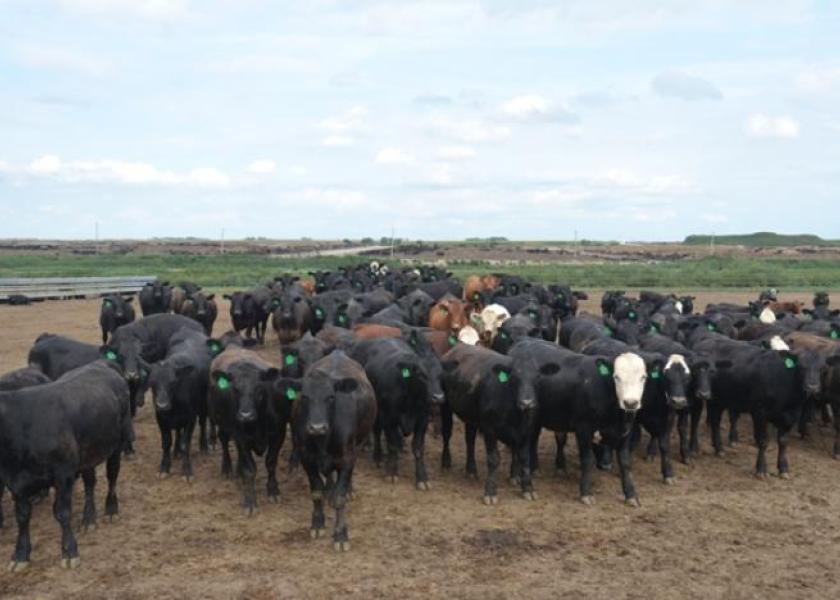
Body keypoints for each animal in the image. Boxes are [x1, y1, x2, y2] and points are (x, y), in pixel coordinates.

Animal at [0, 360, 131, 572]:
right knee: (90, 483)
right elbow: (22, 516)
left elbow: (62, 512)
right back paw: (88, 519)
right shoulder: (15, 482)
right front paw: (20, 555)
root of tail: (101, 363)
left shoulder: (64, 474)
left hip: (117, 444)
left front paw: (70, 551)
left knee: (112, 475)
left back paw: (111, 510)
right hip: (87, 455)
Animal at [292, 352, 378, 552]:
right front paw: (317, 523)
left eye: (331, 397)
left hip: (358, 445)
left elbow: (339, 498)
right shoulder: (306, 457)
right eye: (305, 397)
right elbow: (316, 491)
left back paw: (348, 490)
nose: (317, 427)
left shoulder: (347, 458)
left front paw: (341, 534)